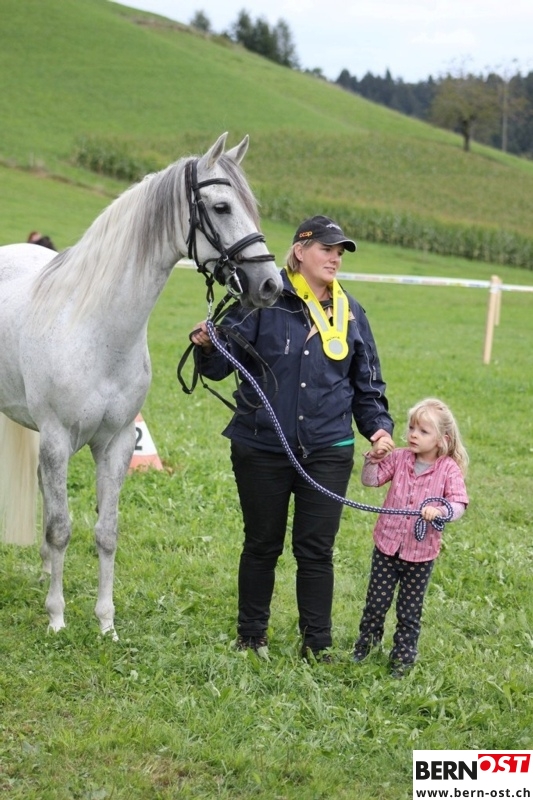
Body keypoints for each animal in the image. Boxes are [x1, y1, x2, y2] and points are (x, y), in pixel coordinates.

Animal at [0, 132, 283, 638]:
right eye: (223, 207)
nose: (270, 284)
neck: (95, 327)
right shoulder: (56, 440)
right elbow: (61, 527)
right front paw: (57, 619)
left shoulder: (115, 444)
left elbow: (105, 533)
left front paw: (105, 623)